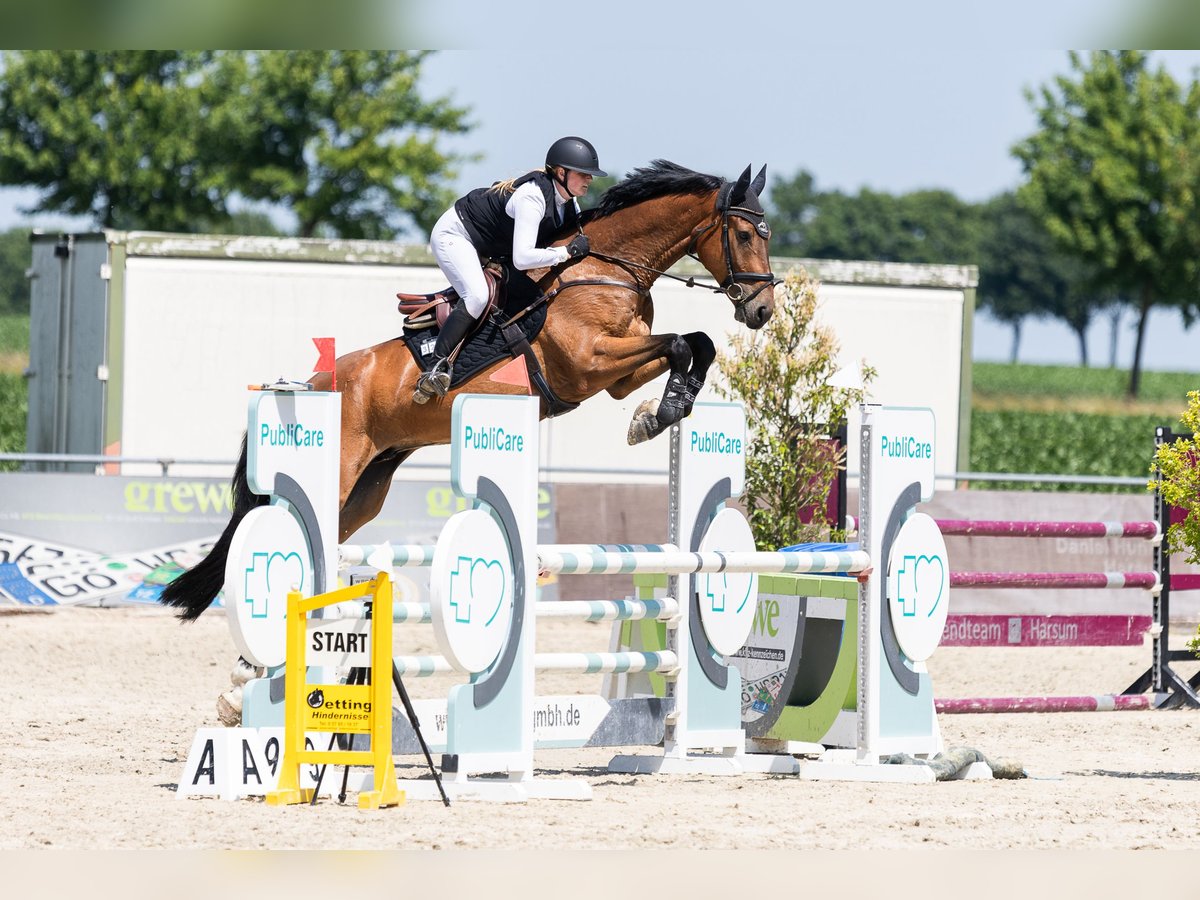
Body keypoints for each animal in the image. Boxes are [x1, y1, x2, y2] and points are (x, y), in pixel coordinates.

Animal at [160, 159, 776, 621]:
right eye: (745, 234)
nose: (763, 310)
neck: (606, 268)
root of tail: (308, 384)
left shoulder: (617, 376)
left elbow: (693, 345)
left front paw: (660, 411)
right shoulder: (589, 363)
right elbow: (681, 344)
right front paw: (660, 414)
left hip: (367, 487)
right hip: (335, 474)